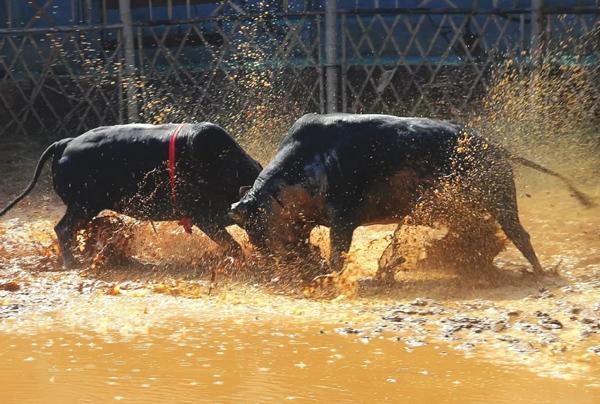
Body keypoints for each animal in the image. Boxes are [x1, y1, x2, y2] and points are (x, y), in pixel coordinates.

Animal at [0, 123, 262, 268]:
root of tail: (65, 143)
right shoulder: (203, 217)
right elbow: (233, 246)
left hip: (85, 208)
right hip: (82, 205)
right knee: (64, 229)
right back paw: (71, 261)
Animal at [229, 113, 593, 279]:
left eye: (258, 229)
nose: (275, 265)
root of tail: (496, 148)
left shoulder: (343, 218)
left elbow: (337, 254)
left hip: (502, 203)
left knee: (520, 235)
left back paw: (540, 272)